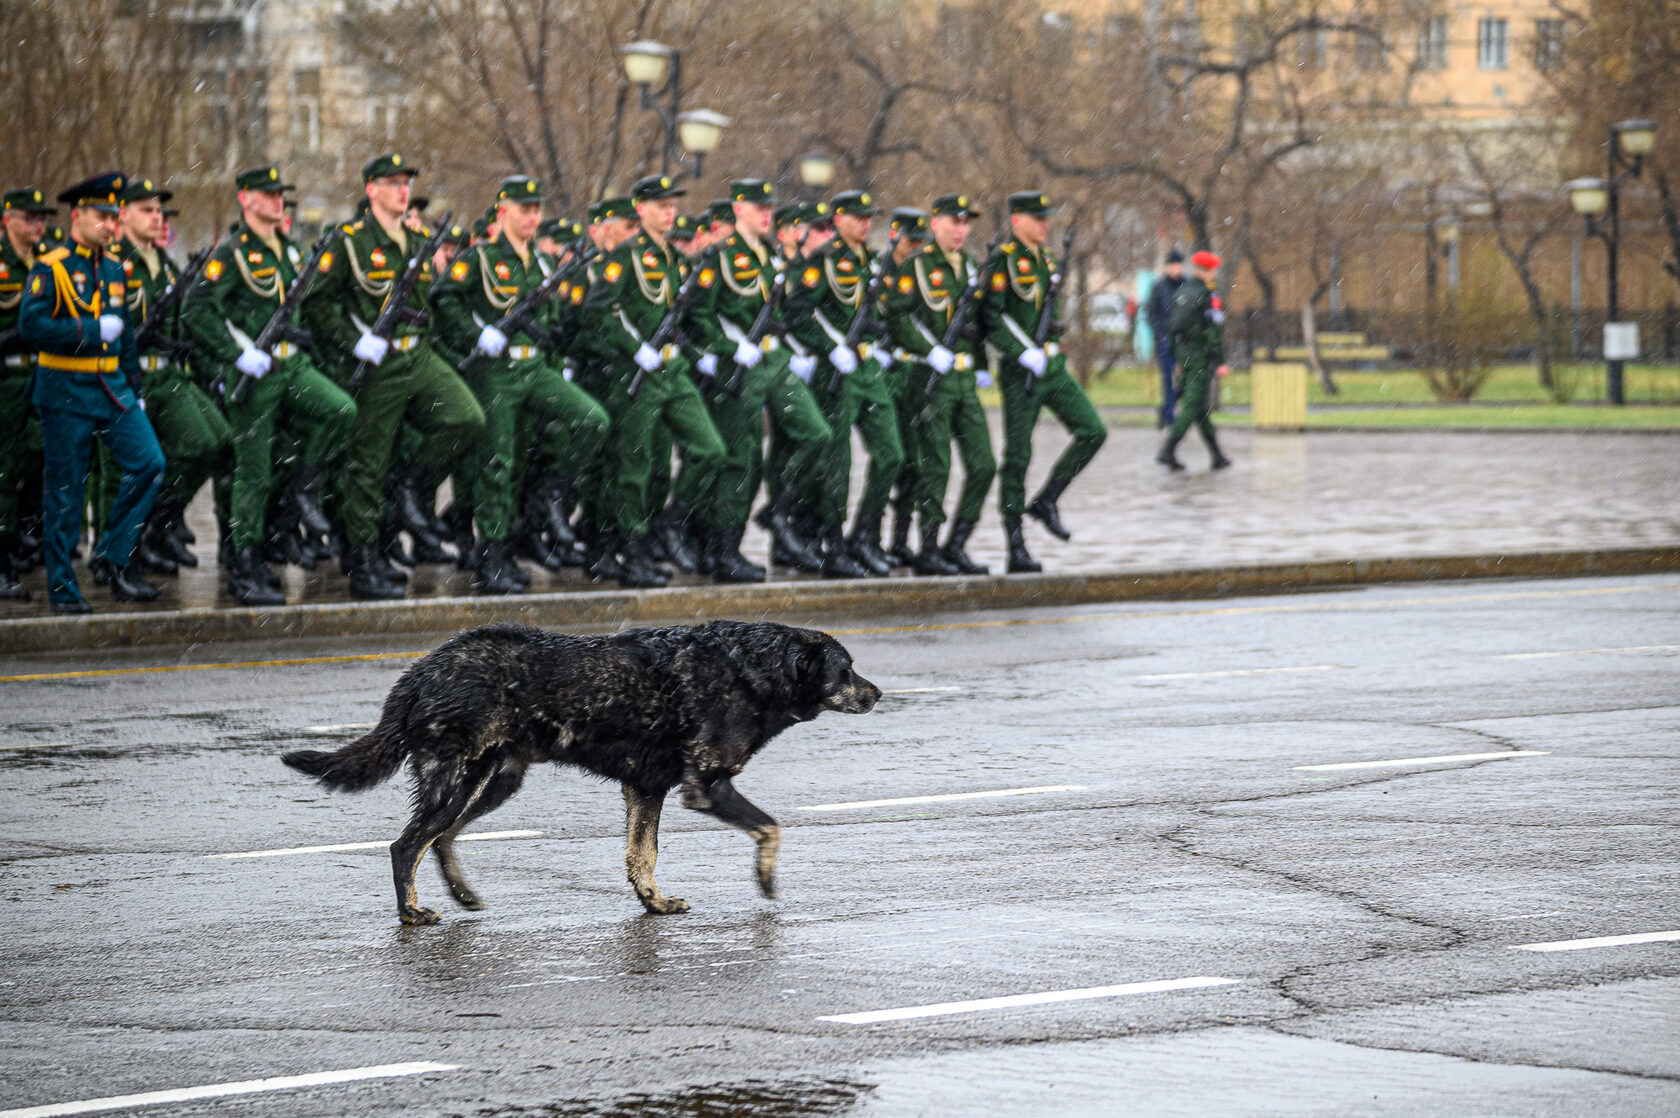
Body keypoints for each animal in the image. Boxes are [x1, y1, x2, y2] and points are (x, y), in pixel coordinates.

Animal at [278, 618, 880, 921]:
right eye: (846, 670)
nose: (877, 694)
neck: (750, 667)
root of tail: (423, 667)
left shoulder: (646, 788)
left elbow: (642, 857)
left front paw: (654, 903)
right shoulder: (706, 786)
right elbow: (771, 827)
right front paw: (766, 879)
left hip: (492, 781)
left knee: (442, 838)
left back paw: (462, 895)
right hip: (457, 780)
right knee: (408, 845)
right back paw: (412, 912)